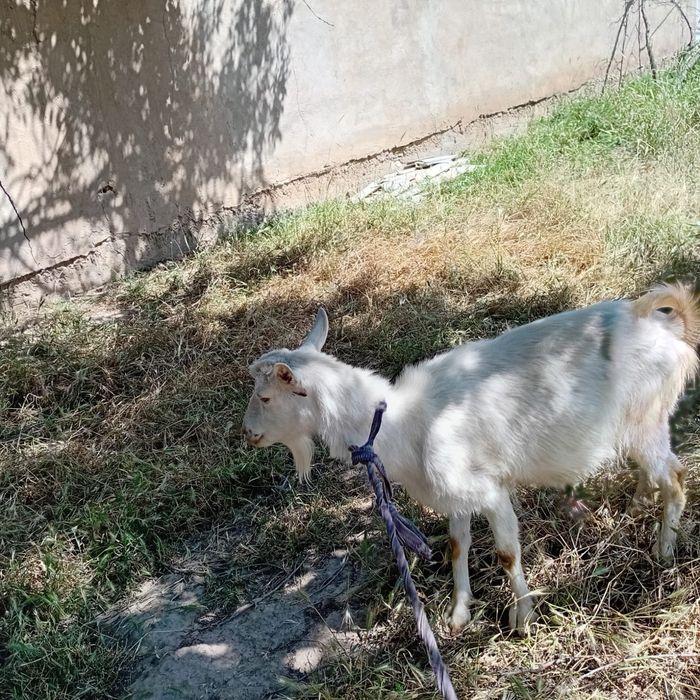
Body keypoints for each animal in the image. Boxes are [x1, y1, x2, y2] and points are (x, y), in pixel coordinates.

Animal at [243, 283, 699, 632]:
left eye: (265, 397)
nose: (248, 434)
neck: (404, 421)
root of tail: (656, 321)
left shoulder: (490, 490)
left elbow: (506, 553)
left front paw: (522, 619)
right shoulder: (453, 496)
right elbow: (457, 546)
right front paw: (458, 614)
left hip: (645, 420)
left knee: (675, 478)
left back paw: (664, 552)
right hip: (640, 425)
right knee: (653, 472)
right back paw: (637, 509)